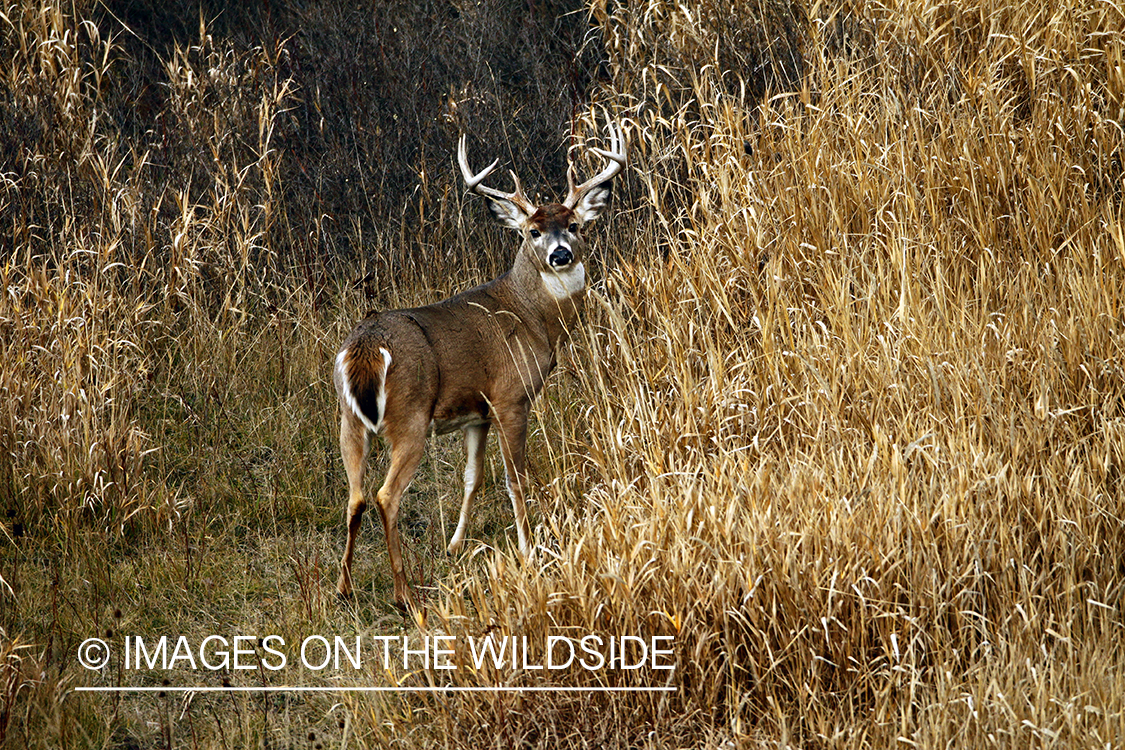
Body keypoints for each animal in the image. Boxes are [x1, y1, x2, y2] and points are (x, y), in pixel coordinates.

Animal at [333, 123, 625, 611]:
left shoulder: (476, 413)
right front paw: (528, 552)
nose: (561, 255)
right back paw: (403, 593)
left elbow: (473, 477)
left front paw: (455, 545)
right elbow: (515, 480)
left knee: (355, 495)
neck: (533, 318)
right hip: (409, 417)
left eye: (574, 225)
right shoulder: (511, 397)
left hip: (349, 421)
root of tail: (367, 346)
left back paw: (344, 588)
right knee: (385, 495)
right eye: (532, 232)